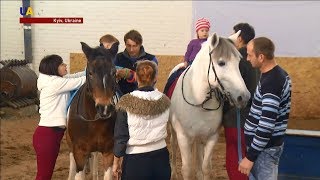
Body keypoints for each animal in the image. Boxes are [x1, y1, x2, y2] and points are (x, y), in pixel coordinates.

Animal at [169, 33, 251, 179]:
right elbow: (187, 169)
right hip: (174, 133)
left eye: (238, 63)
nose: (244, 97)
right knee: (173, 147)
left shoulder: (212, 137)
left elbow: (206, 168)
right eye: (221, 63)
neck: (199, 100)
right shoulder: (183, 138)